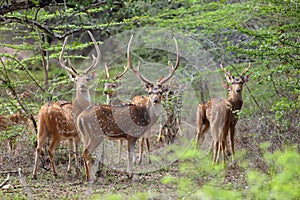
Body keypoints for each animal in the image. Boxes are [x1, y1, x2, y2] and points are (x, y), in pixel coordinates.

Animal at [32, 31, 101, 180]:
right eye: (76, 79)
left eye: (86, 79)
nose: (82, 85)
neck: (79, 106)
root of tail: (45, 112)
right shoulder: (76, 134)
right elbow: (75, 150)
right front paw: (77, 170)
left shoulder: (69, 136)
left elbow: (70, 151)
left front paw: (70, 170)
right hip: (57, 132)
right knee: (50, 149)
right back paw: (55, 172)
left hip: (41, 128)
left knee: (38, 148)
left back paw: (34, 174)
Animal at [76, 35, 179, 181]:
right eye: (149, 92)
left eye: (160, 92)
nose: (155, 100)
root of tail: (80, 118)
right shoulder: (131, 134)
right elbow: (130, 155)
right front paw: (130, 175)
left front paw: (130, 173)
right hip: (96, 134)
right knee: (86, 152)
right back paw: (91, 177)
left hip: (85, 135)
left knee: (84, 152)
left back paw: (88, 176)